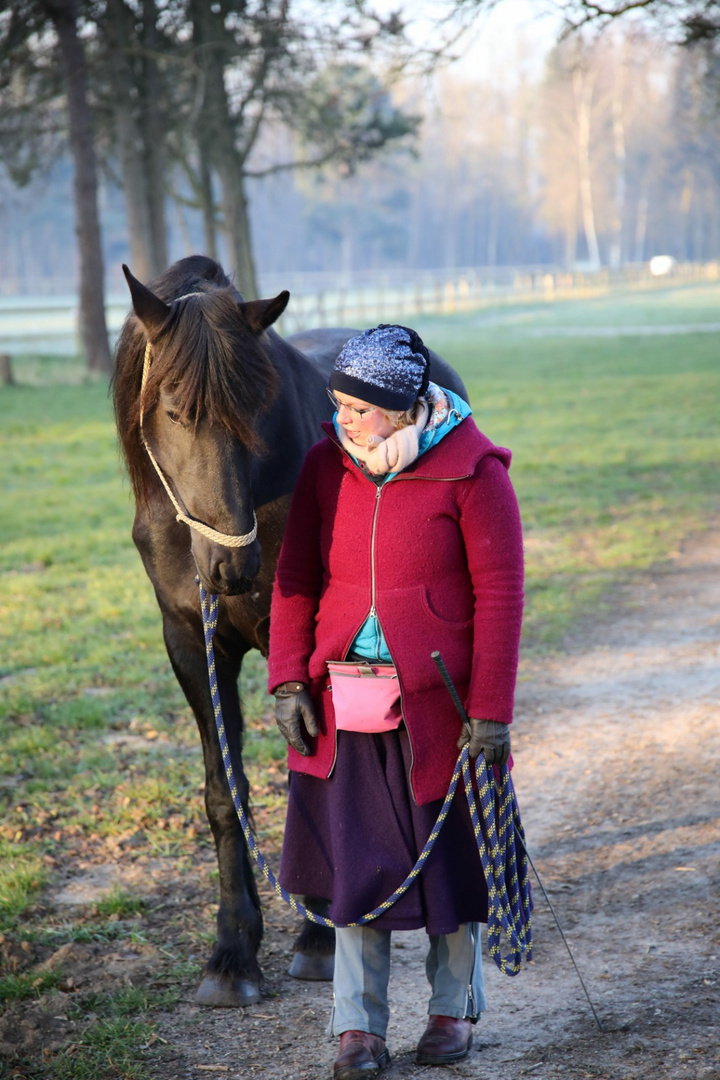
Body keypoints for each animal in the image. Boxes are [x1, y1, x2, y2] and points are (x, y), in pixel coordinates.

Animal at [112, 257, 468, 1006]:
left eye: (256, 413)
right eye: (172, 411)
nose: (232, 565)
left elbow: (315, 776)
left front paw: (319, 937)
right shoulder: (190, 644)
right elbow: (226, 792)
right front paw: (231, 954)